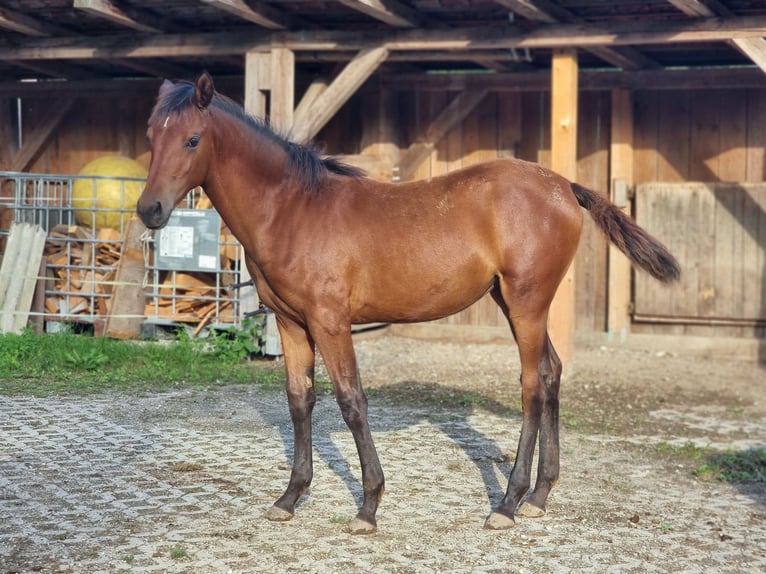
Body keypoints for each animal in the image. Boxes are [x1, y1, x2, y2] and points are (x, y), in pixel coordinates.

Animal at [136, 72, 680, 536]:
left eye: (192, 139)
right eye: (150, 137)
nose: (150, 210)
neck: (292, 209)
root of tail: (564, 185)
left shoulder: (330, 323)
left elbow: (351, 401)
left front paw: (369, 506)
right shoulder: (291, 325)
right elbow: (299, 401)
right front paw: (290, 498)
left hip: (527, 302)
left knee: (532, 384)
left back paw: (507, 503)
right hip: (513, 301)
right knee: (551, 372)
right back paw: (540, 496)